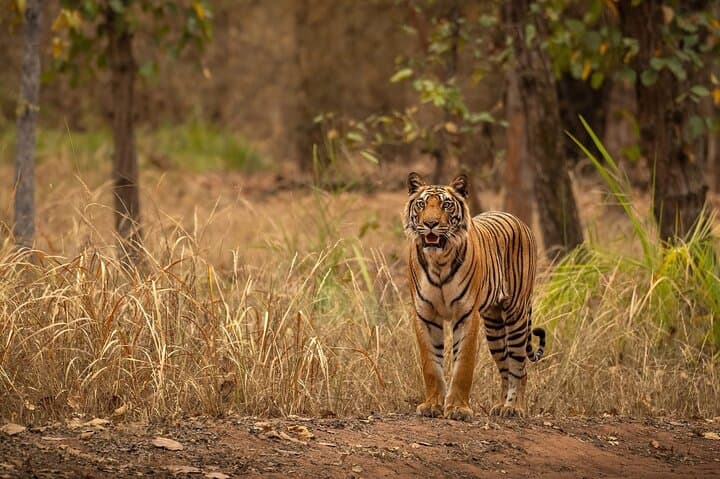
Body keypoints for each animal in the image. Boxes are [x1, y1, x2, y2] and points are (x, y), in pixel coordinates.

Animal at [404, 171, 545, 420]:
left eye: (446, 205)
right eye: (421, 204)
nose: (430, 224)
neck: (438, 260)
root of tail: (516, 218)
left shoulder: (467, 314)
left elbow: (463, 365)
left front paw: (458, 409)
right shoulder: (425, 314)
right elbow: (431, 364)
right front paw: (432, 405)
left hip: (516, 314)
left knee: (519, 366)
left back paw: (513, 408)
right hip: (494, 326)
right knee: (505, 367)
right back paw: (499, 406)